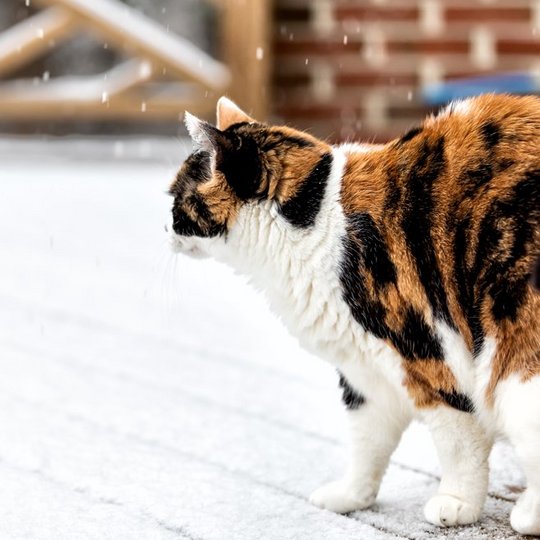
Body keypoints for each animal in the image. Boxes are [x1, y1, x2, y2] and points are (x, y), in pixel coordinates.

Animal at [169, 95, 540, 532]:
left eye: (175, 199)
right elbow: (367, 440)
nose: (166, 227)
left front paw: (456, 501)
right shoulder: (364, 371)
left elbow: (458, 442)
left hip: (514, 361)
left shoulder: (426, 357)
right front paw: (351, 494)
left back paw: (527, 514)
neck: (319, 223)